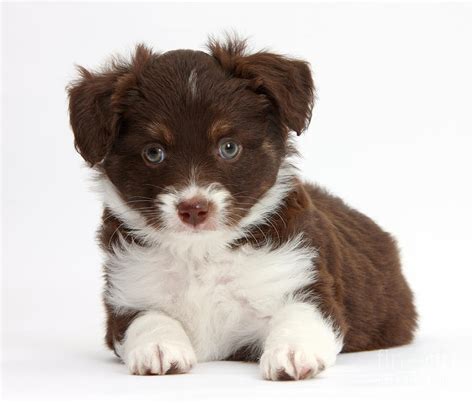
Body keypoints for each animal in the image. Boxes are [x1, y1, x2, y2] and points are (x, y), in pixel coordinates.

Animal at [68, 38, 416, 382]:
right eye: (153, 153)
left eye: (229, 147)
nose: (194, 208)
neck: (201, 253)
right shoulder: (127, 293)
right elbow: (149, 319)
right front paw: (159, 346)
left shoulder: (305, 280)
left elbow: (300, 315)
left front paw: (292, 351)